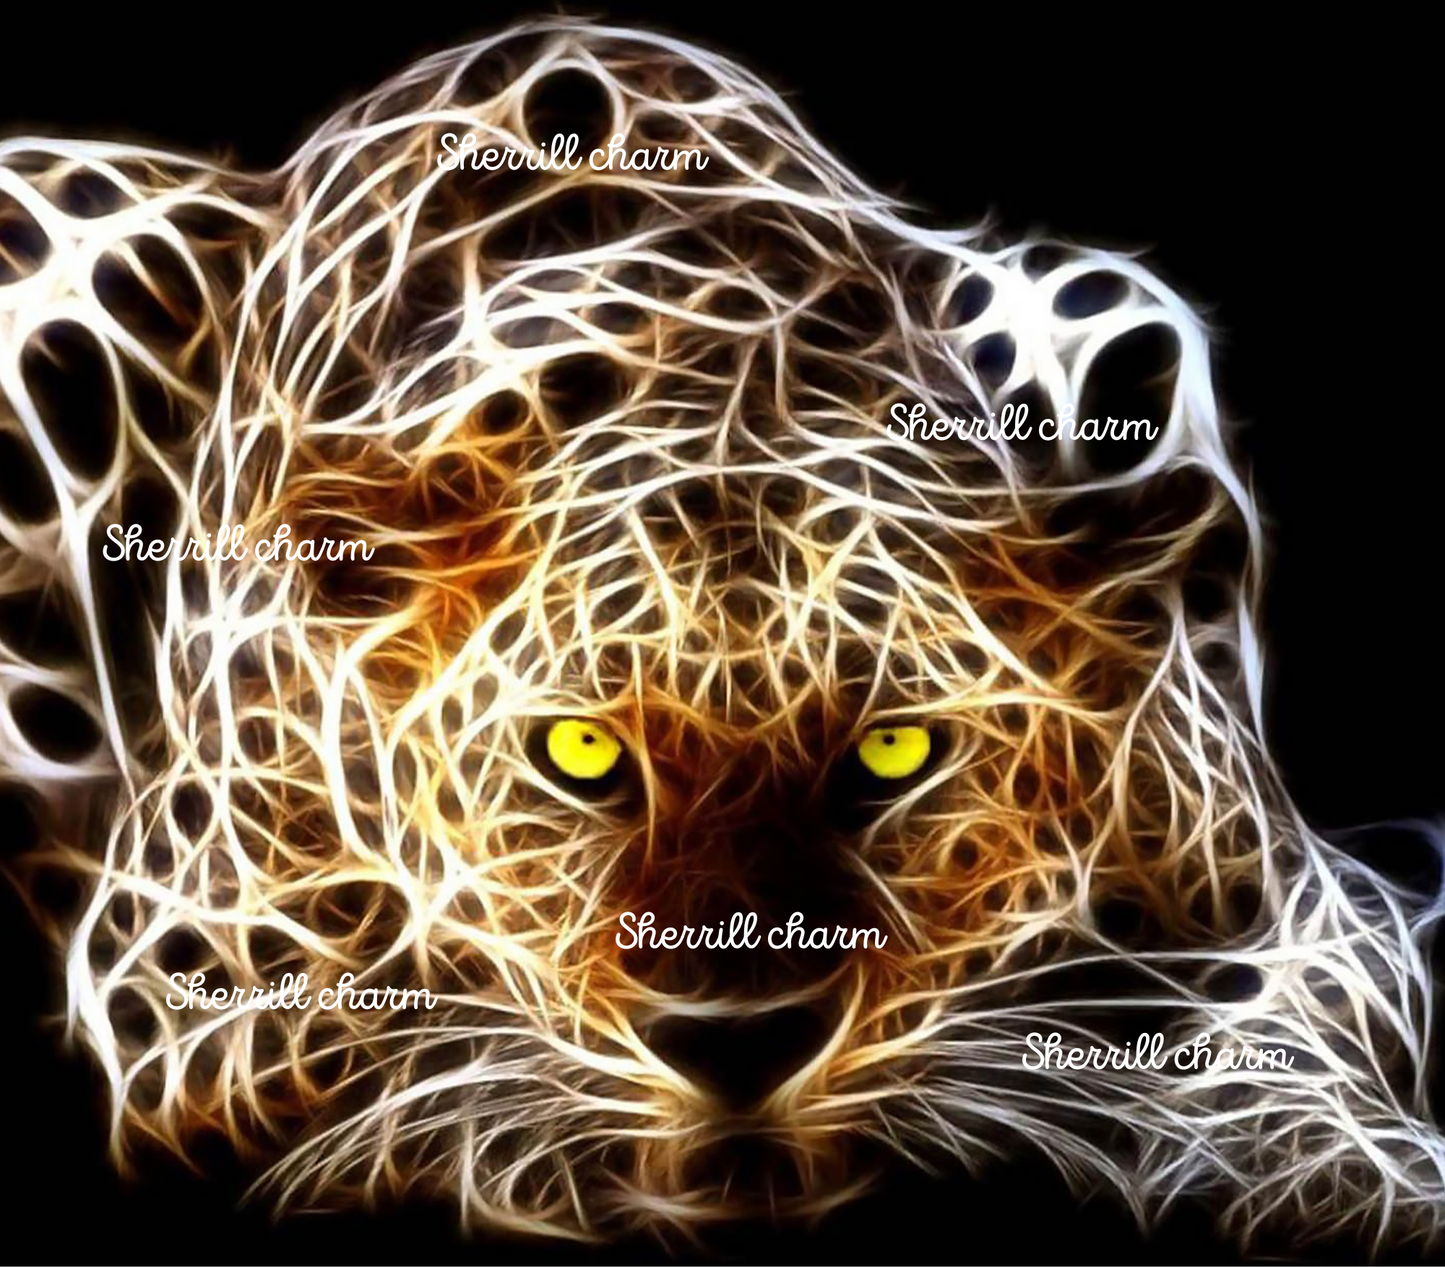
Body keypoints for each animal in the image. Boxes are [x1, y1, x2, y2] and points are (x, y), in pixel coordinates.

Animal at [1, 17, 1441, 1254]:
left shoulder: (1302, 889)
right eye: (578, 753)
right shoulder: (186, 974)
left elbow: (1309, 1016)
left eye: (894, 752)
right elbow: (444, 1057)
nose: (737, 1041)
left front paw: (1334, 1171)